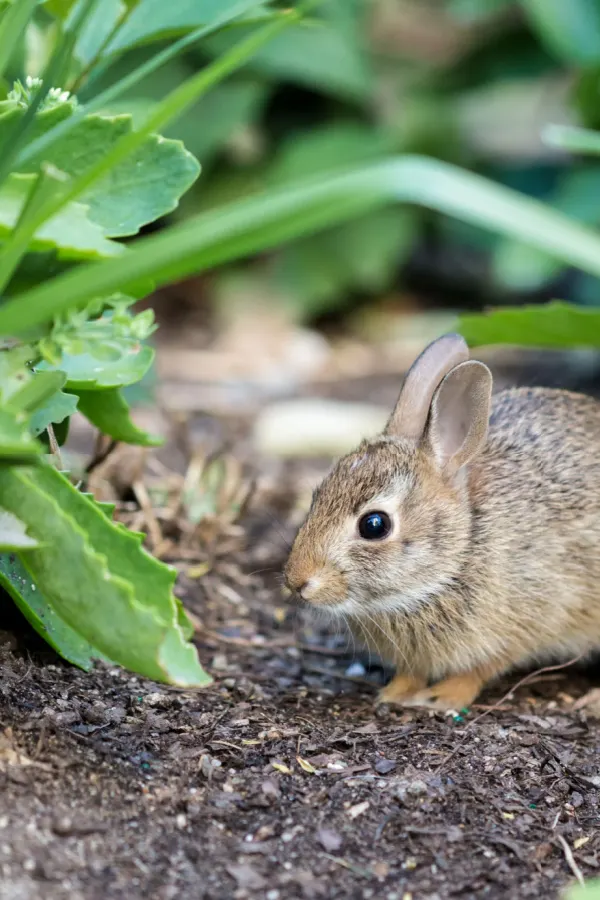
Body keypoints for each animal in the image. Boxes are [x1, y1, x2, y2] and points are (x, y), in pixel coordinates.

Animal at [282, 332, 600, 712]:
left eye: (374, 525)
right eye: (316, 497)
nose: (296, 581)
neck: (461, 548)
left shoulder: (531, 616)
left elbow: (483, 667)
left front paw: (442, 696)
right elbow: (413, 672)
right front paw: (396, 692)